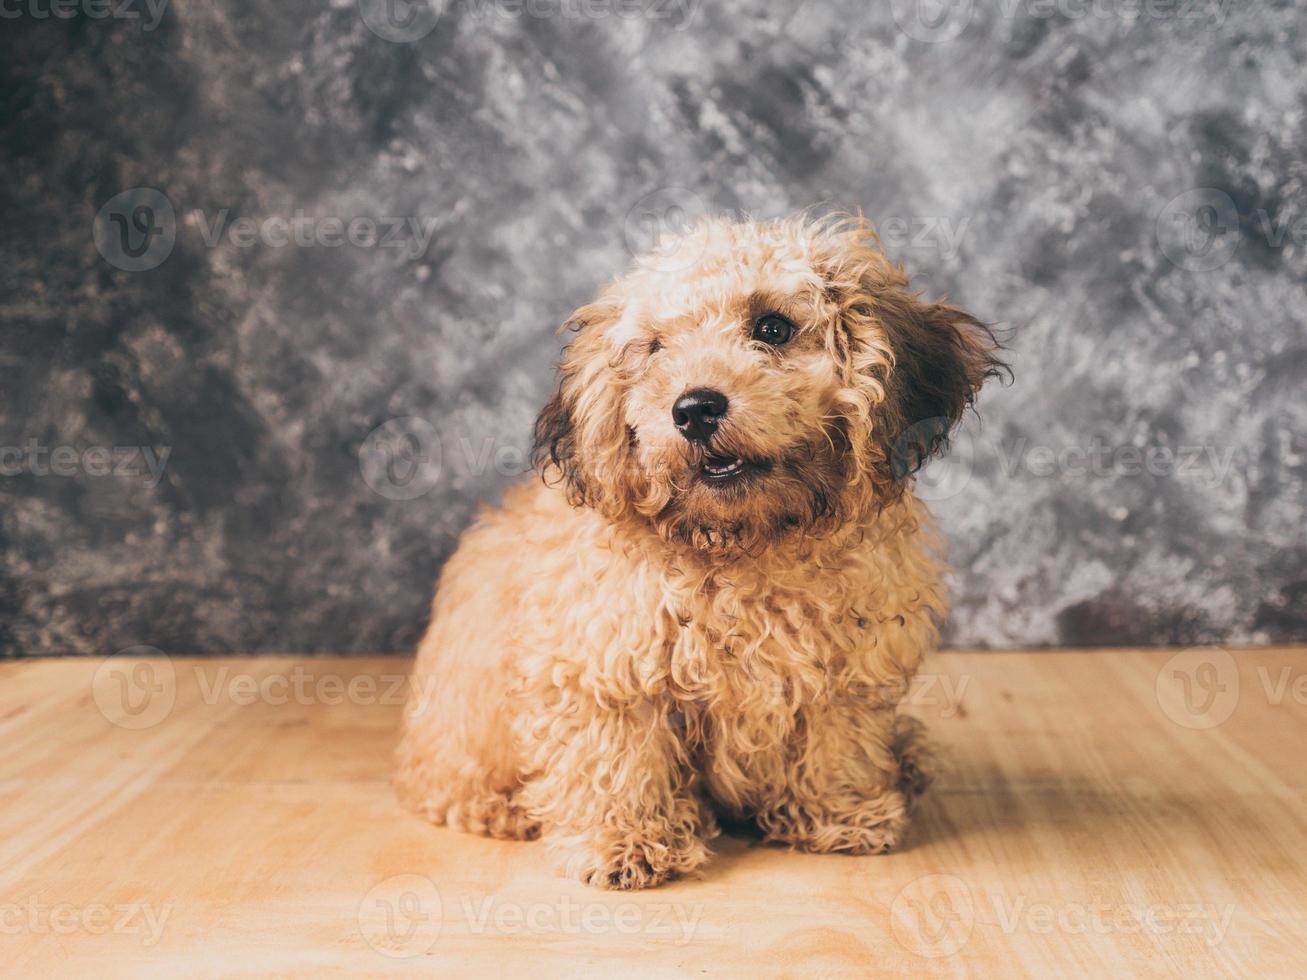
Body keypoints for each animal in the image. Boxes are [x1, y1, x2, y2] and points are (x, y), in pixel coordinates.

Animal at [392, 214, 1003, 888]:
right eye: (656, 348)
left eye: (772, 327)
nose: (695, 408)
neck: (742, 544)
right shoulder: (606, 662)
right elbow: (621, 758)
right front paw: (625, 842)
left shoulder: (847, 665)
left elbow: (836, 740)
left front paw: (840, 813)